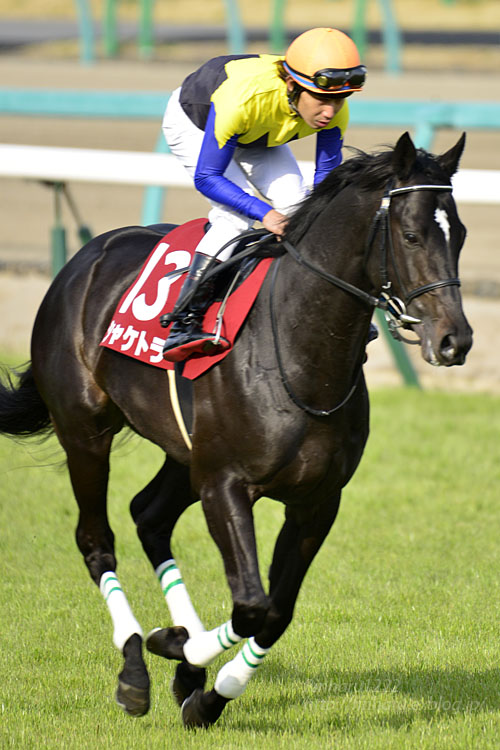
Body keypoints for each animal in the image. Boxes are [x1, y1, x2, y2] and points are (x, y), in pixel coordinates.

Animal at [0, 134, 472, 728]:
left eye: (459, 233)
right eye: (410, 235)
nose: (456, 340)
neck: (297, 354)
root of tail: (83, 261)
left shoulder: (316, 500)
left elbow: (275, 612)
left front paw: (203, 689)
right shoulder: (225, 485)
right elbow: (251, 605)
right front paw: (176, 649)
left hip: (184, 455)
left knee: (149, 516)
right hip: (85, 431)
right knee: (96, 541)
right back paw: (135, 666)